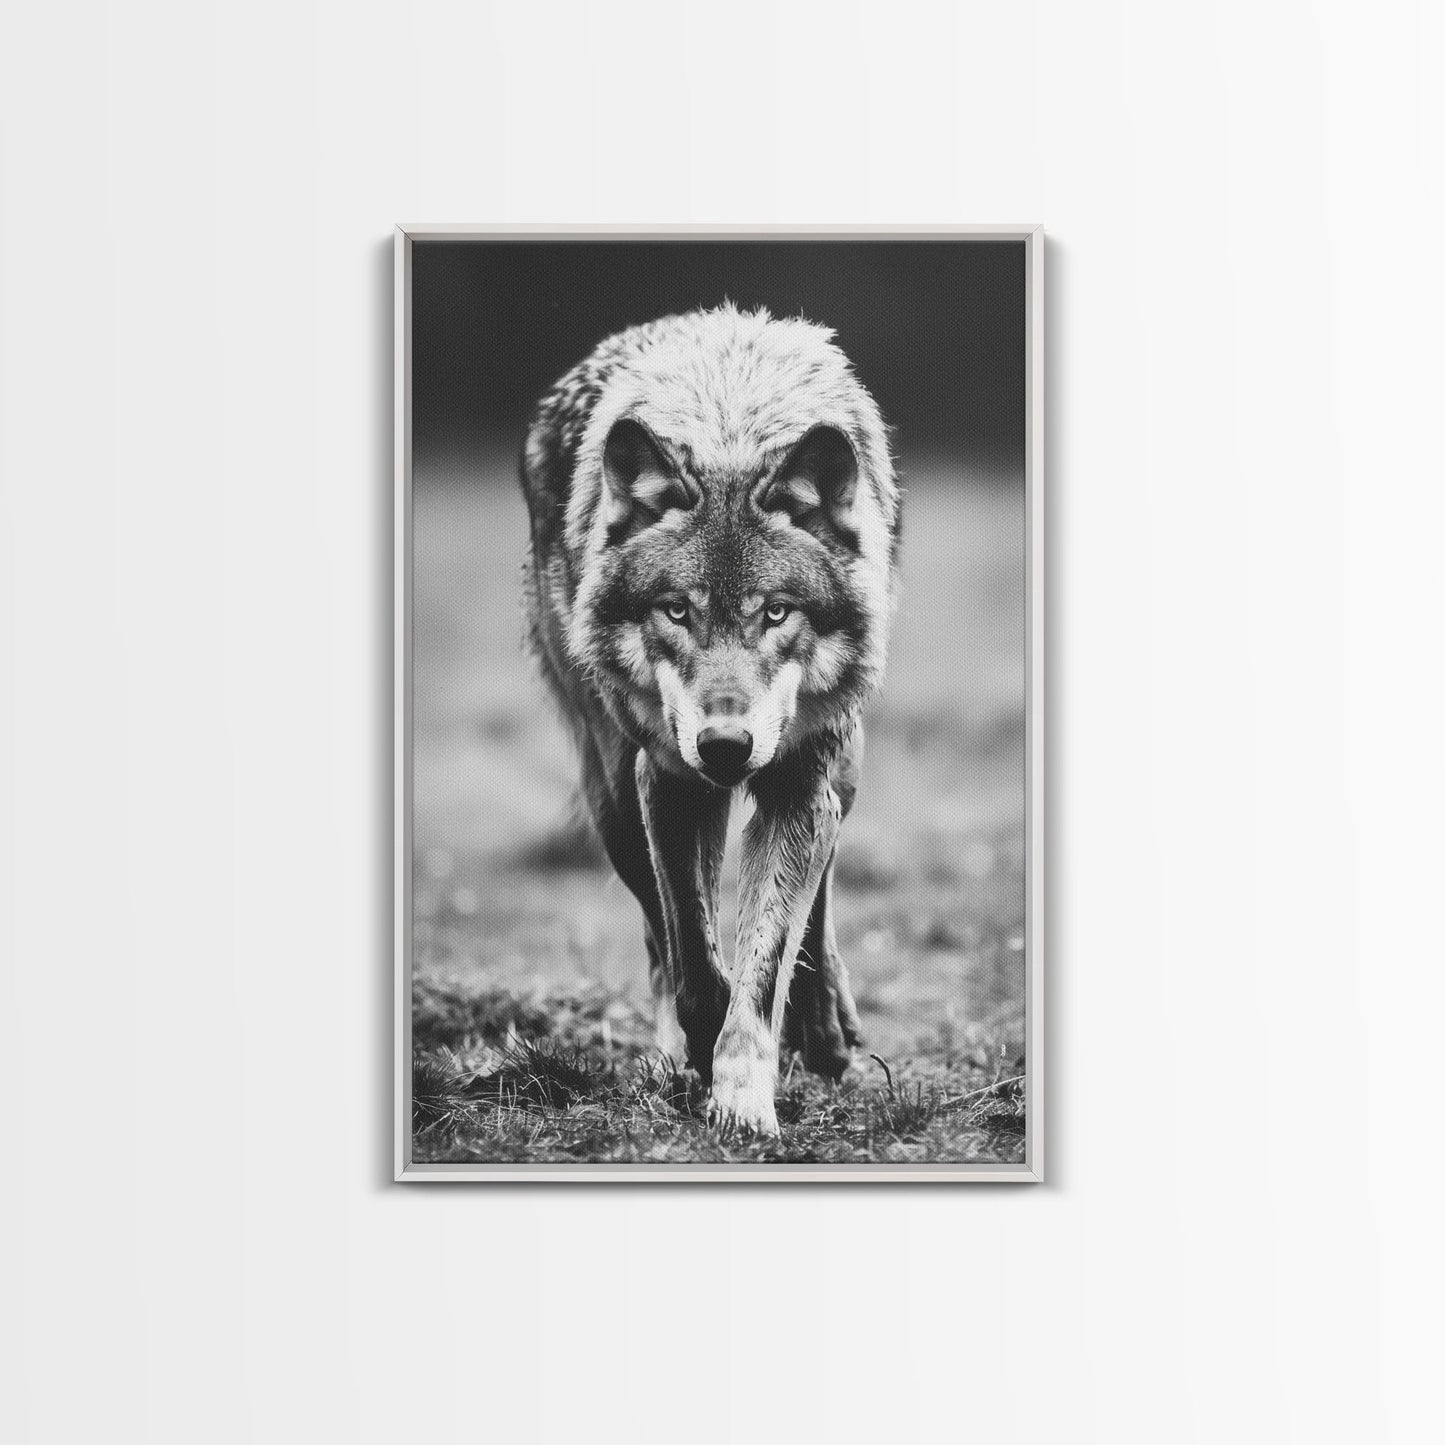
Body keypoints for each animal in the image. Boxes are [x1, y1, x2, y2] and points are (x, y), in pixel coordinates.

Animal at [519, 304, 901, 1136]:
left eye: (776, 612)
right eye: (675, 610)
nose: (725, 745)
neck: (729, 427)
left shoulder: (795, 783)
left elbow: (765, 955)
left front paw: (744, 1098)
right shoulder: (666, 780)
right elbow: (694, 956)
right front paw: (703, 1048)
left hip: (839, 762)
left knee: (820, 889)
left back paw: (825, 1025)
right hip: (611, 793)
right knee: (658, 938)